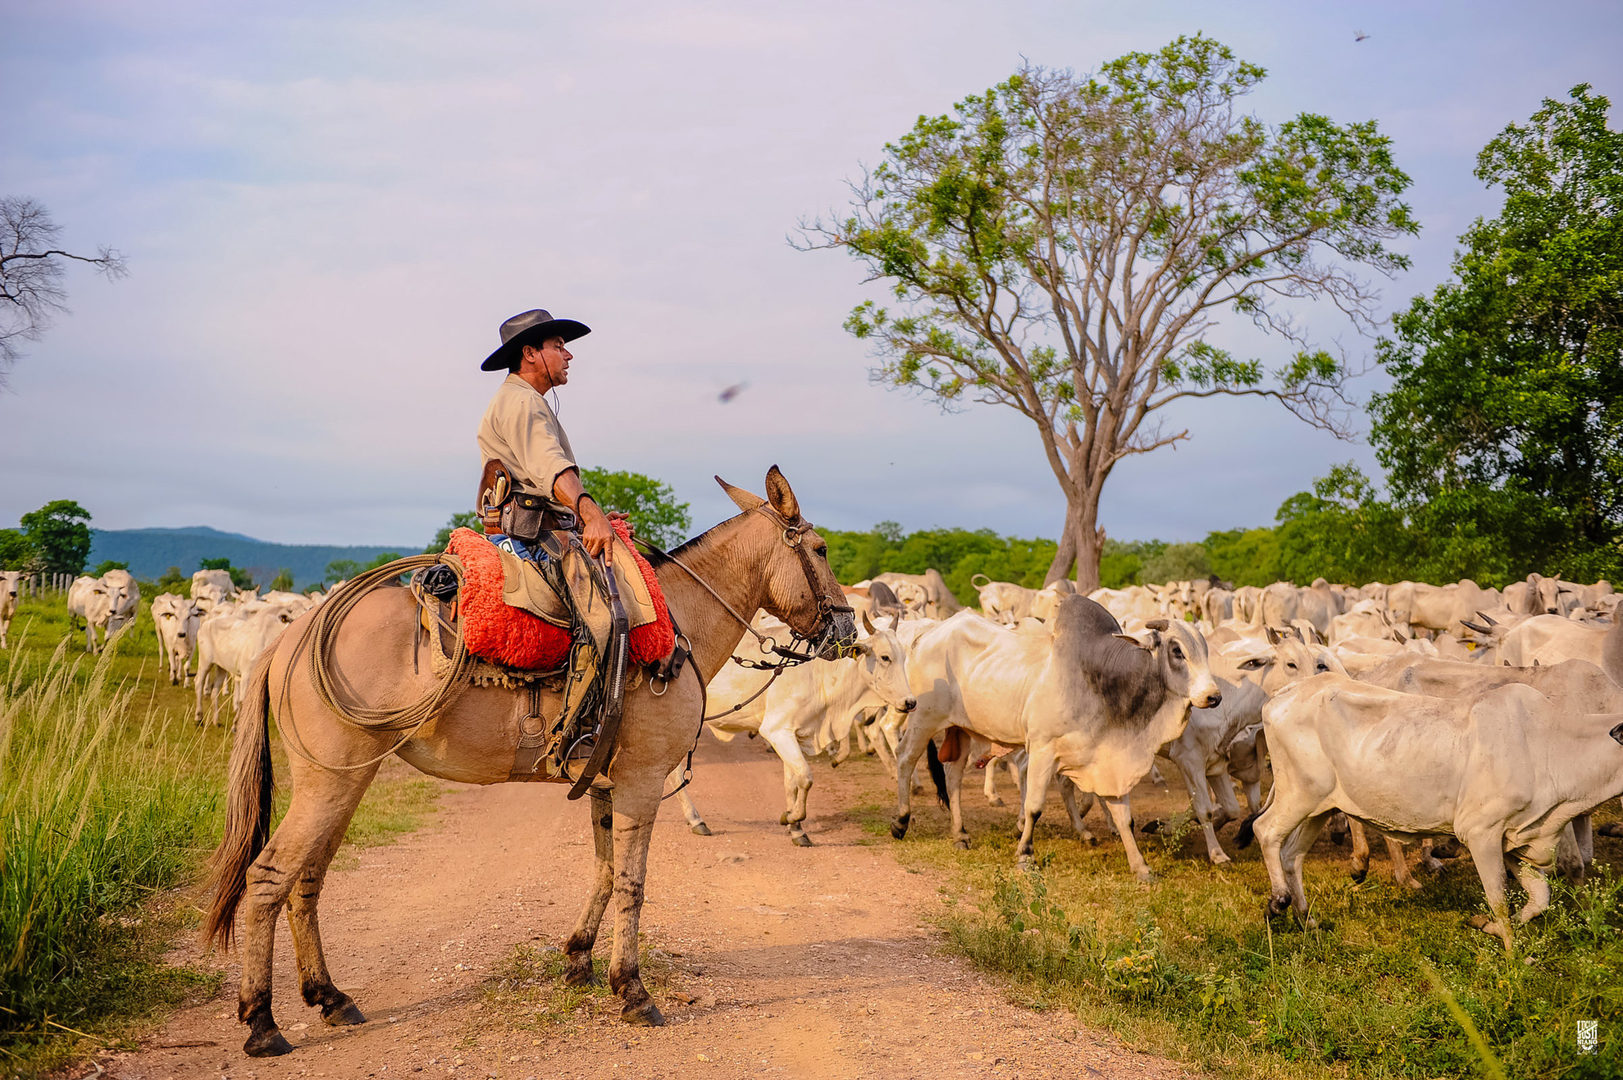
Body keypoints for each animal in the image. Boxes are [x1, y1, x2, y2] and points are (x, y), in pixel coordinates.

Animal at [889, 594, 1220, 883]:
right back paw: (901, 821)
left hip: (962, 730)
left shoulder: (1110, 760)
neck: (1104, 681)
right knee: (905, 759)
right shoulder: (1043, 749)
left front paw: (1141, 868)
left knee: (953, 776)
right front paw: (1025, 855)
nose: (1213, 696)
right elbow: (1034, 806)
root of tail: (926, 634)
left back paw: (959, 834)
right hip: (924, 718)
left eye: (1205, 650)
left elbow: (1124, 818)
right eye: (1177, 651)